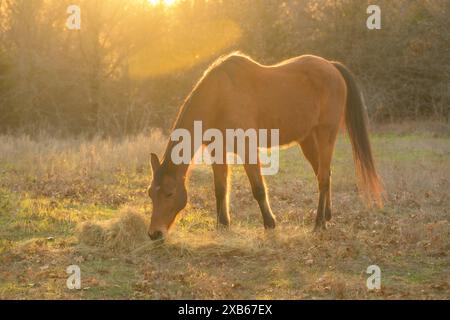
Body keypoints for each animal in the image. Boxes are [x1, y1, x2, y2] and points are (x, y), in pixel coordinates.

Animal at [148, 51, 384, 240]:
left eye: (169, 193)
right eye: (151, 193)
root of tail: (332, 66)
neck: (219, 97)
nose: (154, 233)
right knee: (324, 175)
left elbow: (258, 189)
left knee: (324, 177)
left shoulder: (246, 148)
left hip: (327, 134)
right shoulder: (218, 151)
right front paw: (223, 224)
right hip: (308, 140)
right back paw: (327, 216)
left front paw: (270, 223)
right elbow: (220, 188)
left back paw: (318, 224)